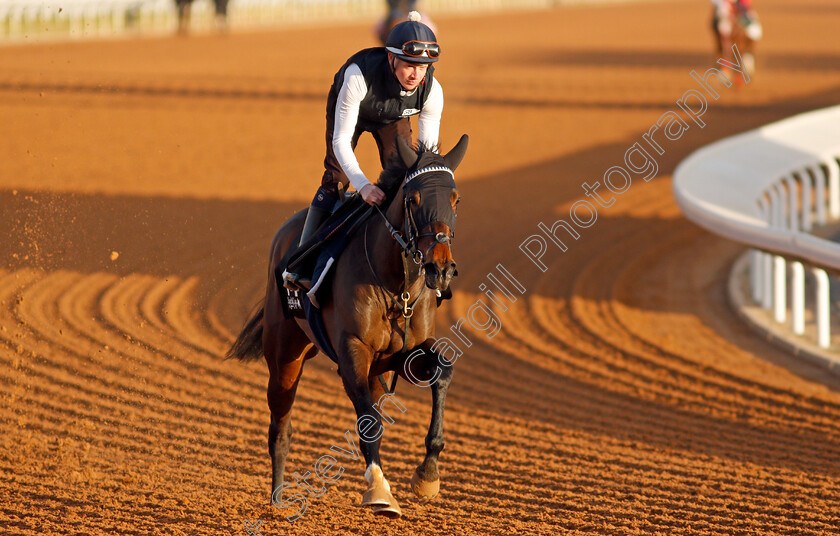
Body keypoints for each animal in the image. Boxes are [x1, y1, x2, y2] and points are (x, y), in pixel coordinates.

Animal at [226, 134, 470, 520]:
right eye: (413, 199)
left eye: (455, 200)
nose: (440, 268)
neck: (395, 284)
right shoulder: (353, 351)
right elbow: (369, 421)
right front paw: (379, 490)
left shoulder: (401, 354)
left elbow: (442, 369)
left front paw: (428, 474)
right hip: (284, 355)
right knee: (280, 424)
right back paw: (278, 499)